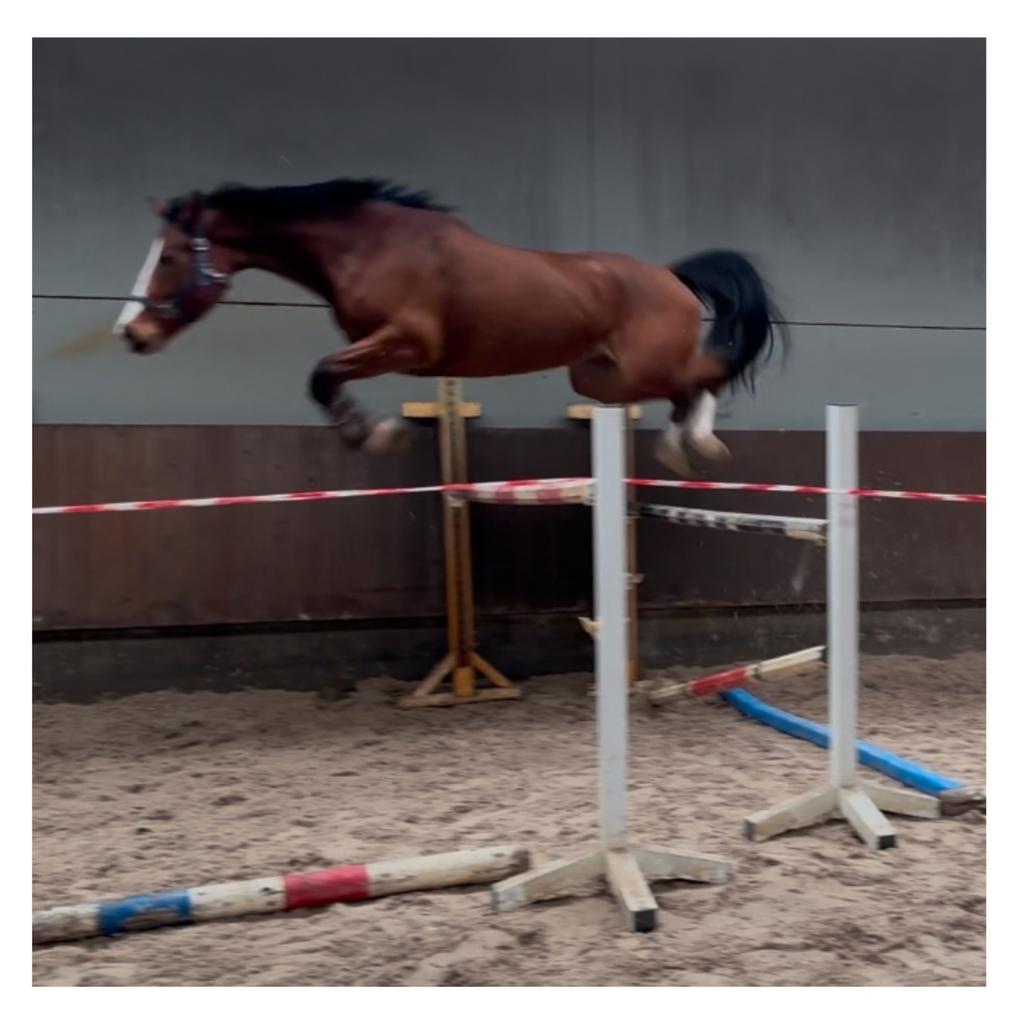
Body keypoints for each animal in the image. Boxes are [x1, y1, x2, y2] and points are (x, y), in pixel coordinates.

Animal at [115, 178, 785, 475]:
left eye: (170, 256)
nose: (131, 335)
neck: (366, 245)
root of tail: (669, 275)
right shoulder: (385, 348)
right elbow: (325, 378)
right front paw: (368, 431)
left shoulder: (407, 342)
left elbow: (322, 374)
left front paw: (374, 435)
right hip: (600, 378)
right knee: (686, 386)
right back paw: (678, 445)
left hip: (642, 364)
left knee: (710, 371)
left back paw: (700, 442)